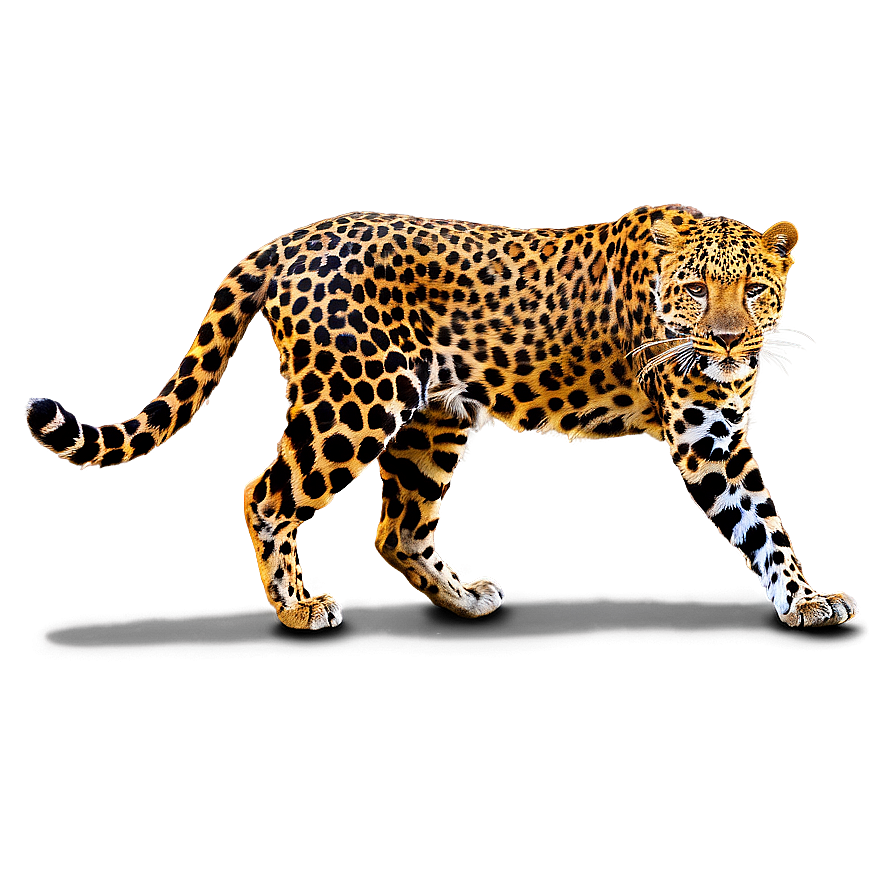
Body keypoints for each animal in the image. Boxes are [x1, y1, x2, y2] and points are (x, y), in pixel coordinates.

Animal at [25, 205, 857, 631]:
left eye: (755, 290)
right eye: (695, 290)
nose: (727, 340)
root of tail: (294, 236)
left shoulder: (721, 429)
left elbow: (766, 524)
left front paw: (807, 599)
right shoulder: (701, 440)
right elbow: (759, 524)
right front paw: (807, 599)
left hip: (434, 421)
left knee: (397, 530)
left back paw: (463, 597)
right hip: (351, 405)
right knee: (265, 493)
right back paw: (296, 606)